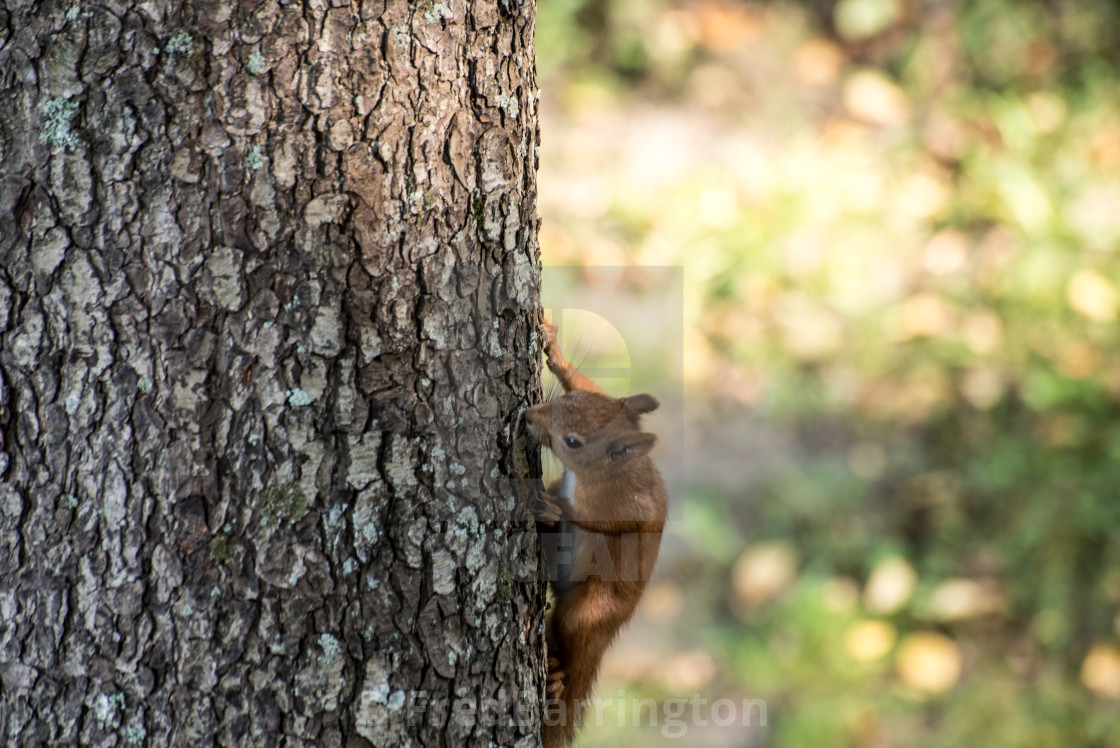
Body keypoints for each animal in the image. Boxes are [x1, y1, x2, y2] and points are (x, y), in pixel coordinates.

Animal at [524, 318, 663, 743]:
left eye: (573, 441)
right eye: (569, 402)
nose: (528, 416)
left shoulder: (630, 505)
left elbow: (610, 522)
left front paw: (553, 506)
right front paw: (554, 349)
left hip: (592, 609)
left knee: (571, 640)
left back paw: (556, 677)